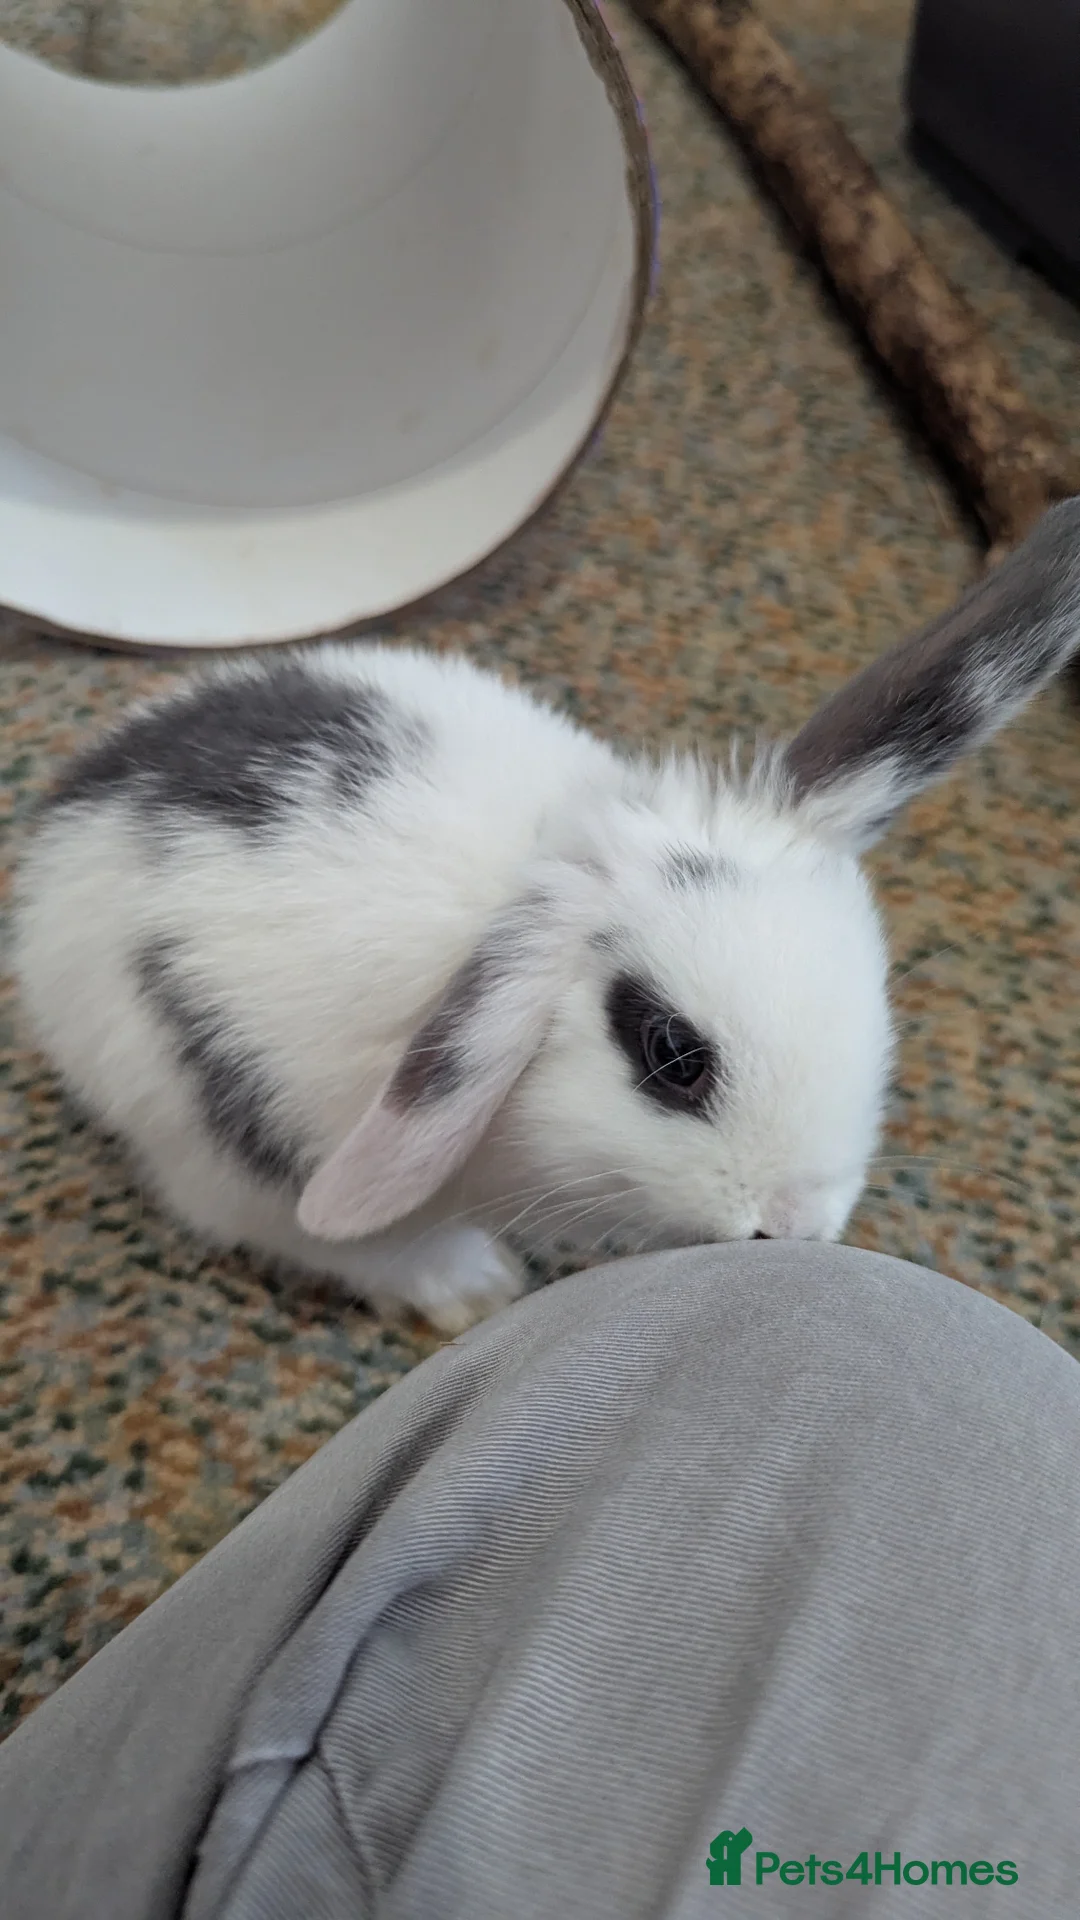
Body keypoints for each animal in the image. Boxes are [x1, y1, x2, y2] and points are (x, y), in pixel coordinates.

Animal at [13, 499, 1080, 1334]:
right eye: (672, 1055)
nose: (791, 1225)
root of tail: (70, 812)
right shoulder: (267, 1169)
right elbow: (343, 1241)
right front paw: (479, 1293)